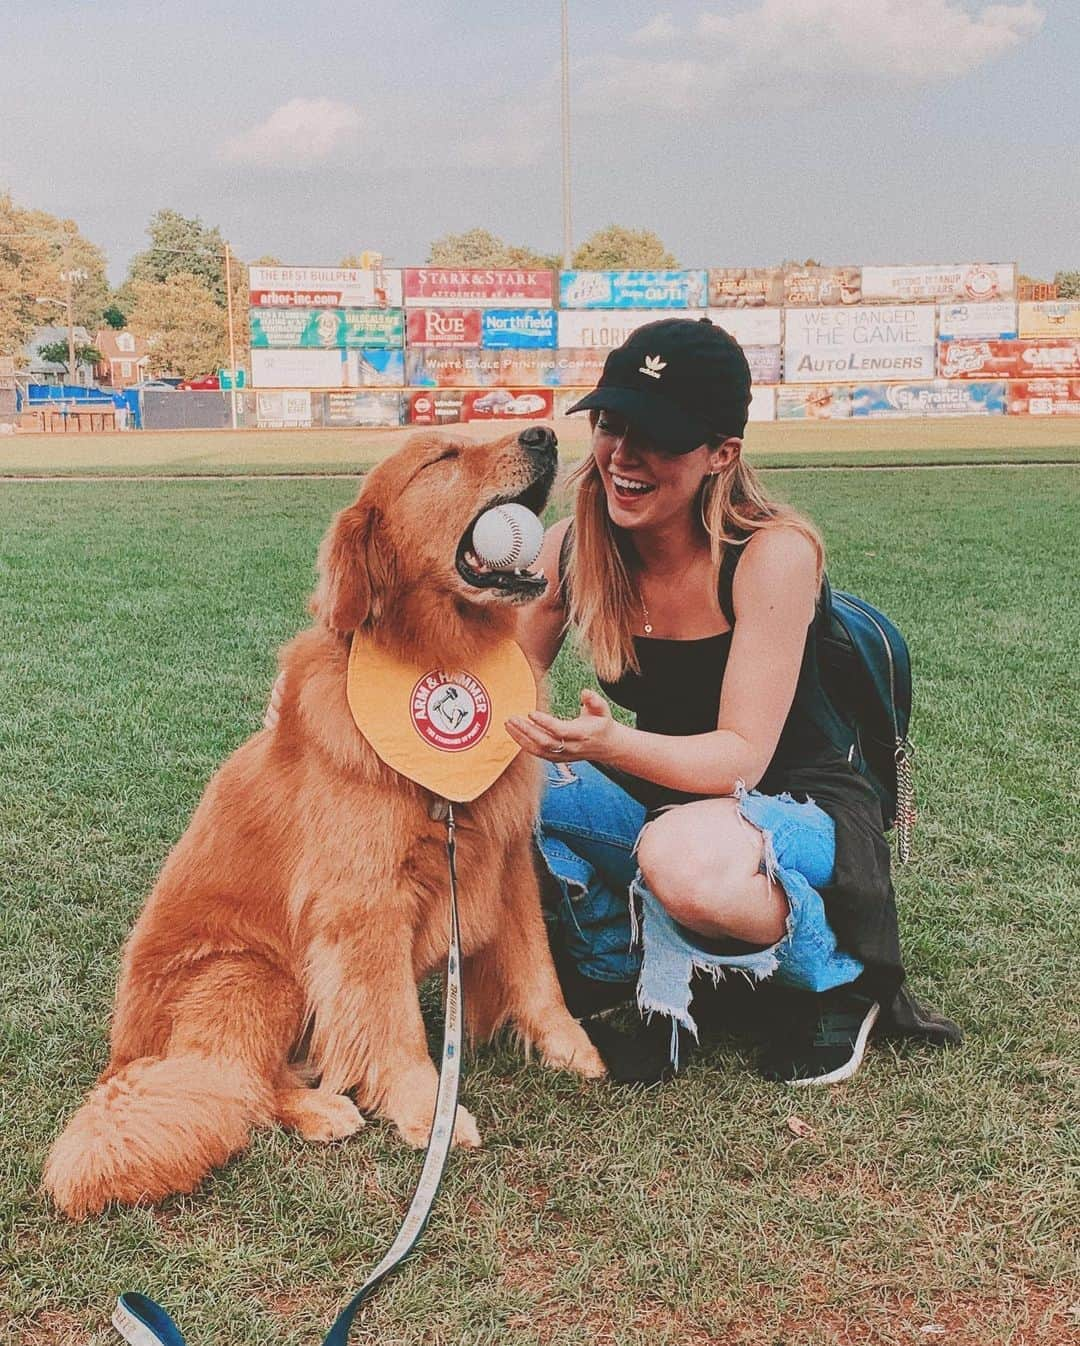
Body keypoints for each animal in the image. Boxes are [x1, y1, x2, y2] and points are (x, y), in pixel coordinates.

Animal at [46, 428, 600, 1222]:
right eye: (441, 458)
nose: (544, 433)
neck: (441, 656)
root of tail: (125, 1059)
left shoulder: (502, 859)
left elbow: (537, 970)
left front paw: (570, 1047)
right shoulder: (363, 906)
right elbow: (395, 1025)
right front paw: (425, 1108)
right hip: (252, 974)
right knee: (236, 1084)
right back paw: (318, 1108)